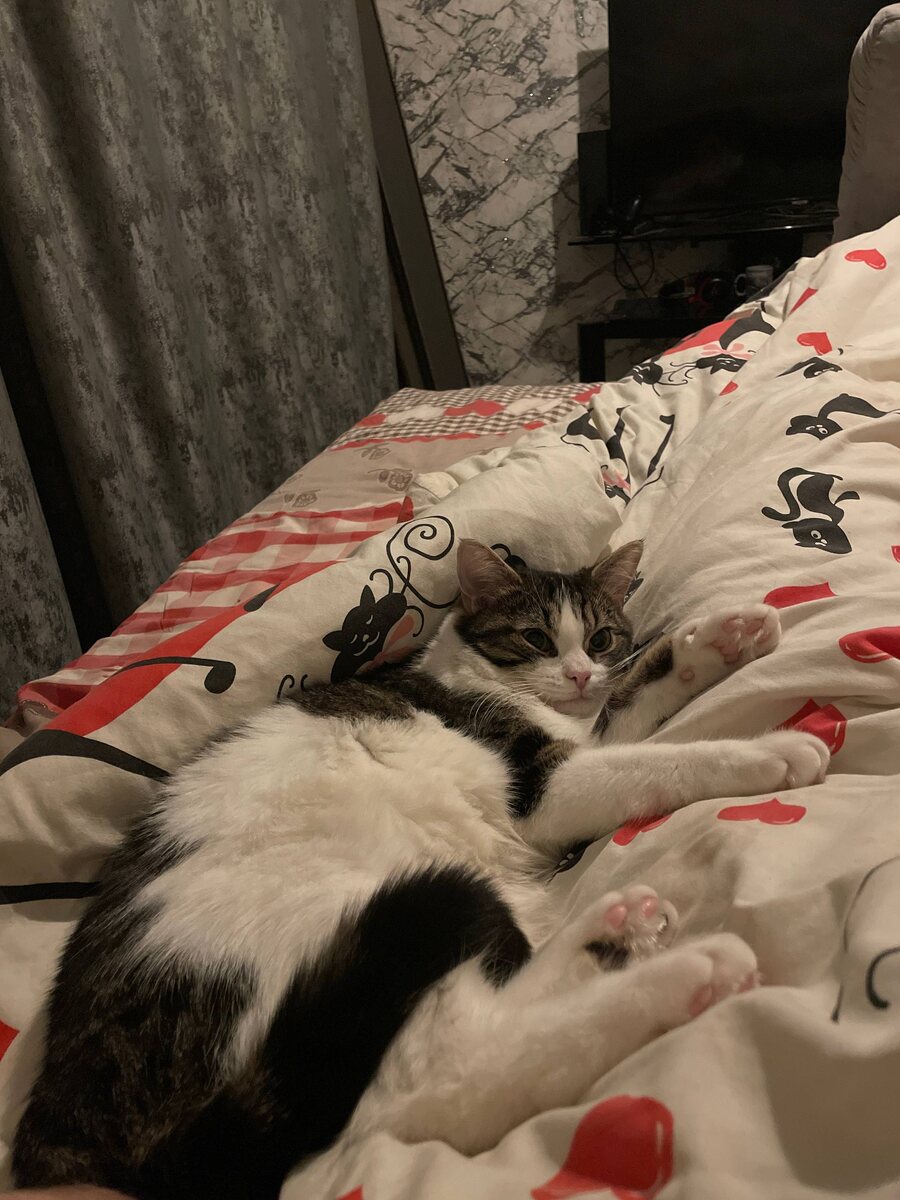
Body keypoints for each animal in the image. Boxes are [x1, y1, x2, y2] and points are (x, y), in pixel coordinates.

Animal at [13, 540, 829, 1200]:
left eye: (600, 637)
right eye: (534, 637)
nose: (574, 673)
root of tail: (63, 1132)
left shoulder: (583, 736)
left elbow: (632, 706)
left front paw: (722, 637)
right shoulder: (545, 784)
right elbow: (652, 761)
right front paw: (765, 750)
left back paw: (616, 928)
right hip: (326, 917)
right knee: (443, 1079)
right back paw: (690, 974)